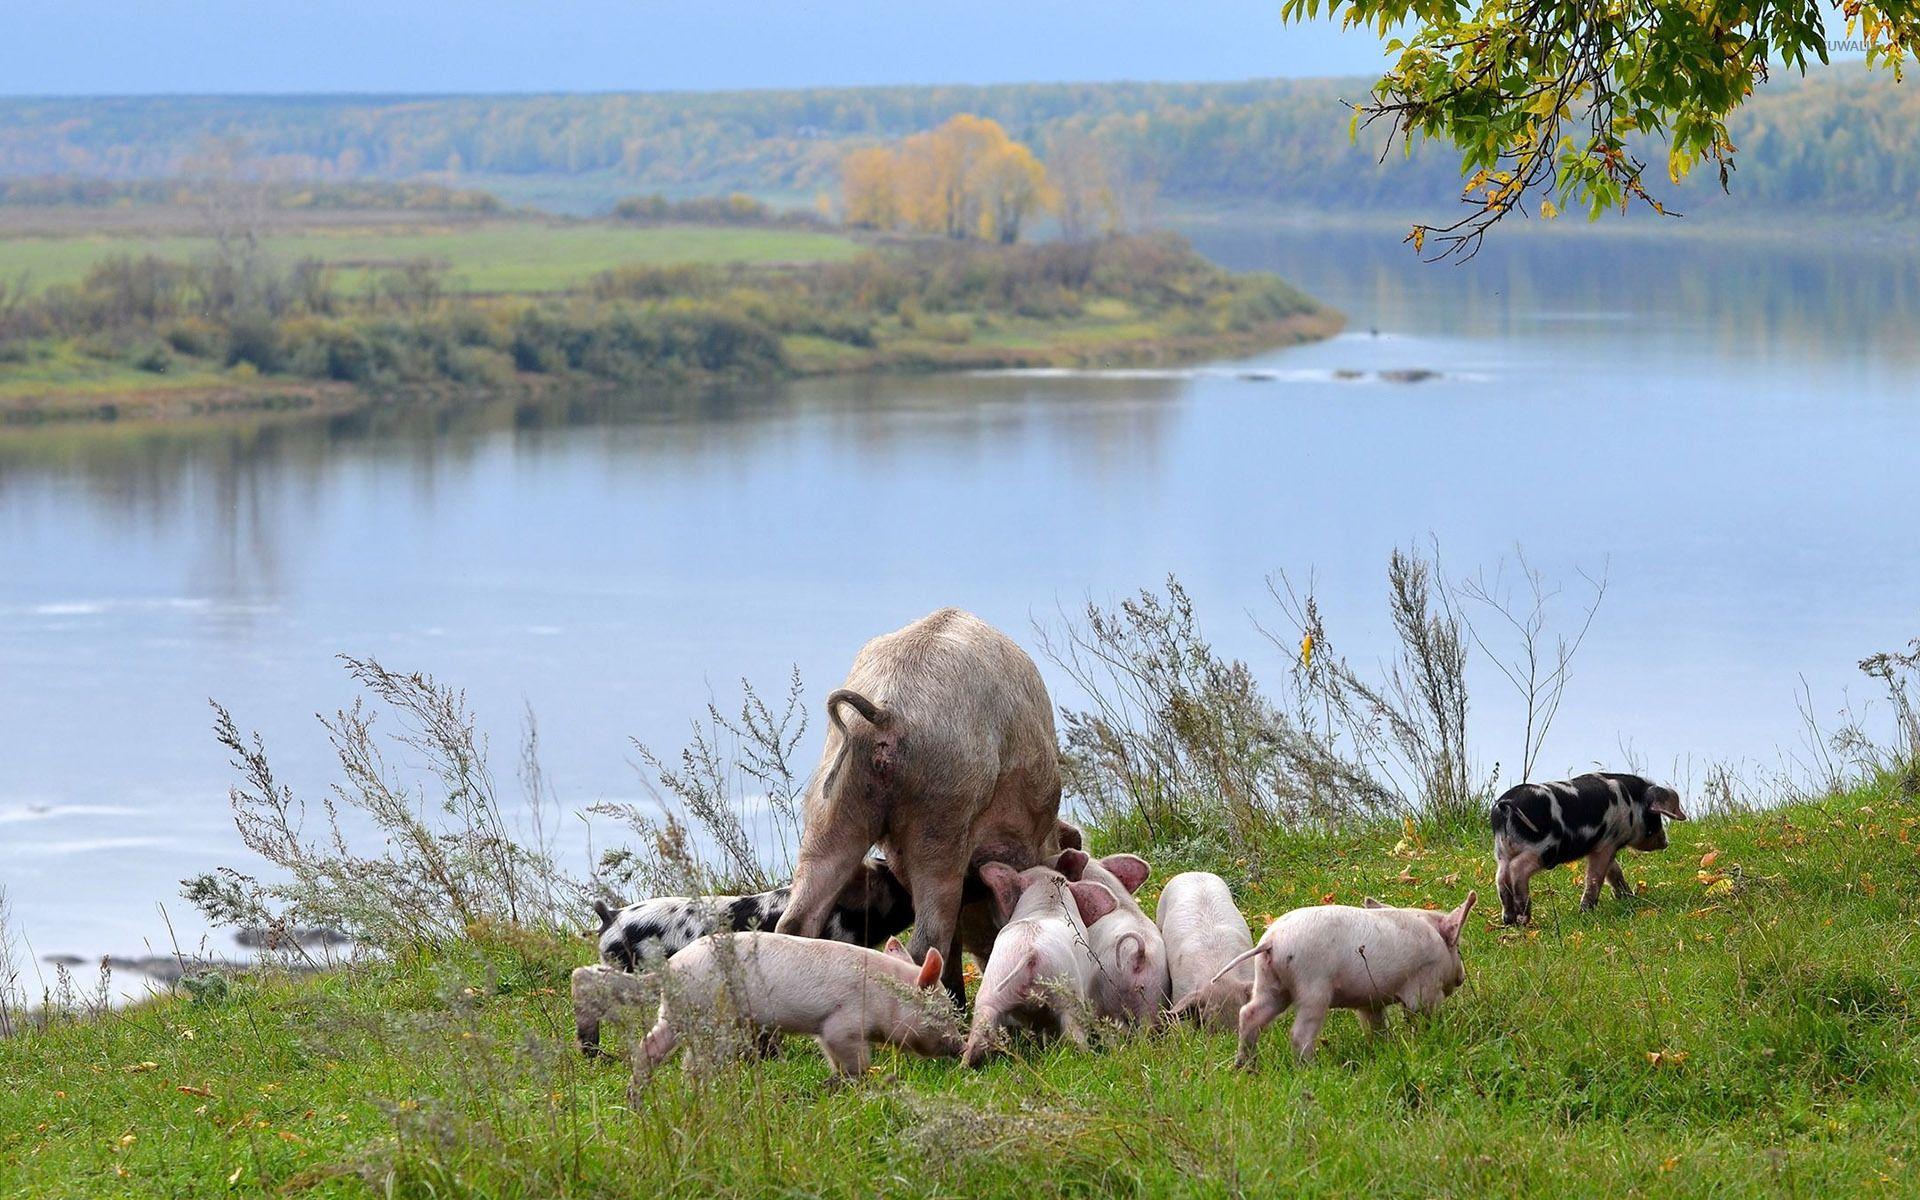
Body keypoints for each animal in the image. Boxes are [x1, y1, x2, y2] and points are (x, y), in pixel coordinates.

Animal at [635, 932, 963, 1080]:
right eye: (943, 1011)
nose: (959, 1047)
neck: (884, 994)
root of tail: (669, 967)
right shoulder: (841, 1024)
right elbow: (852, 1058)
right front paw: (859, 1081)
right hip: (713, 1018)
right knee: (694, 1064)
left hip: (676, 1014)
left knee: (650, 1047)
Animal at [962, 862, 1119, 1067]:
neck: (1047, 906)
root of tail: (1031, 951)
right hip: (1068, 997)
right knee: (1074, 1034)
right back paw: (1085, 1058)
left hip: (991, 990)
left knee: (977, 1037)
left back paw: (964, 1067)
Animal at [1216, 891, 1477, 1068]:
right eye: (1457, 948)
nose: (1462, 977)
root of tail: (1271, 941)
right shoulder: (1425, 985)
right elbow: (1421, 1014)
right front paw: (1431, 1036)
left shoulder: (1369, 1001)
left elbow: (1375, 1025)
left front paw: (1382, 1047)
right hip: (1312, 985)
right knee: (1299, 1033)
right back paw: (1312, 1069)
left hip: (1270, 983)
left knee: (1249, 1013)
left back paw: (1245, 1066)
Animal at [1490, 772, 1688, 925]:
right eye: (1655, 816)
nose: (1666, 842)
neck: (1631, 801)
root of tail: (1506, 805)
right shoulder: (1605, 845)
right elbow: (1595, 877)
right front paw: (1586, 910)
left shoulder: (1604, 844)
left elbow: (1614, 872)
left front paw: (1628, 897)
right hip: (1542, 849)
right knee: (1517, 870)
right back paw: (1524, 918)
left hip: (1502, 852)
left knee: (1501, 877)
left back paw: (1509, 920)